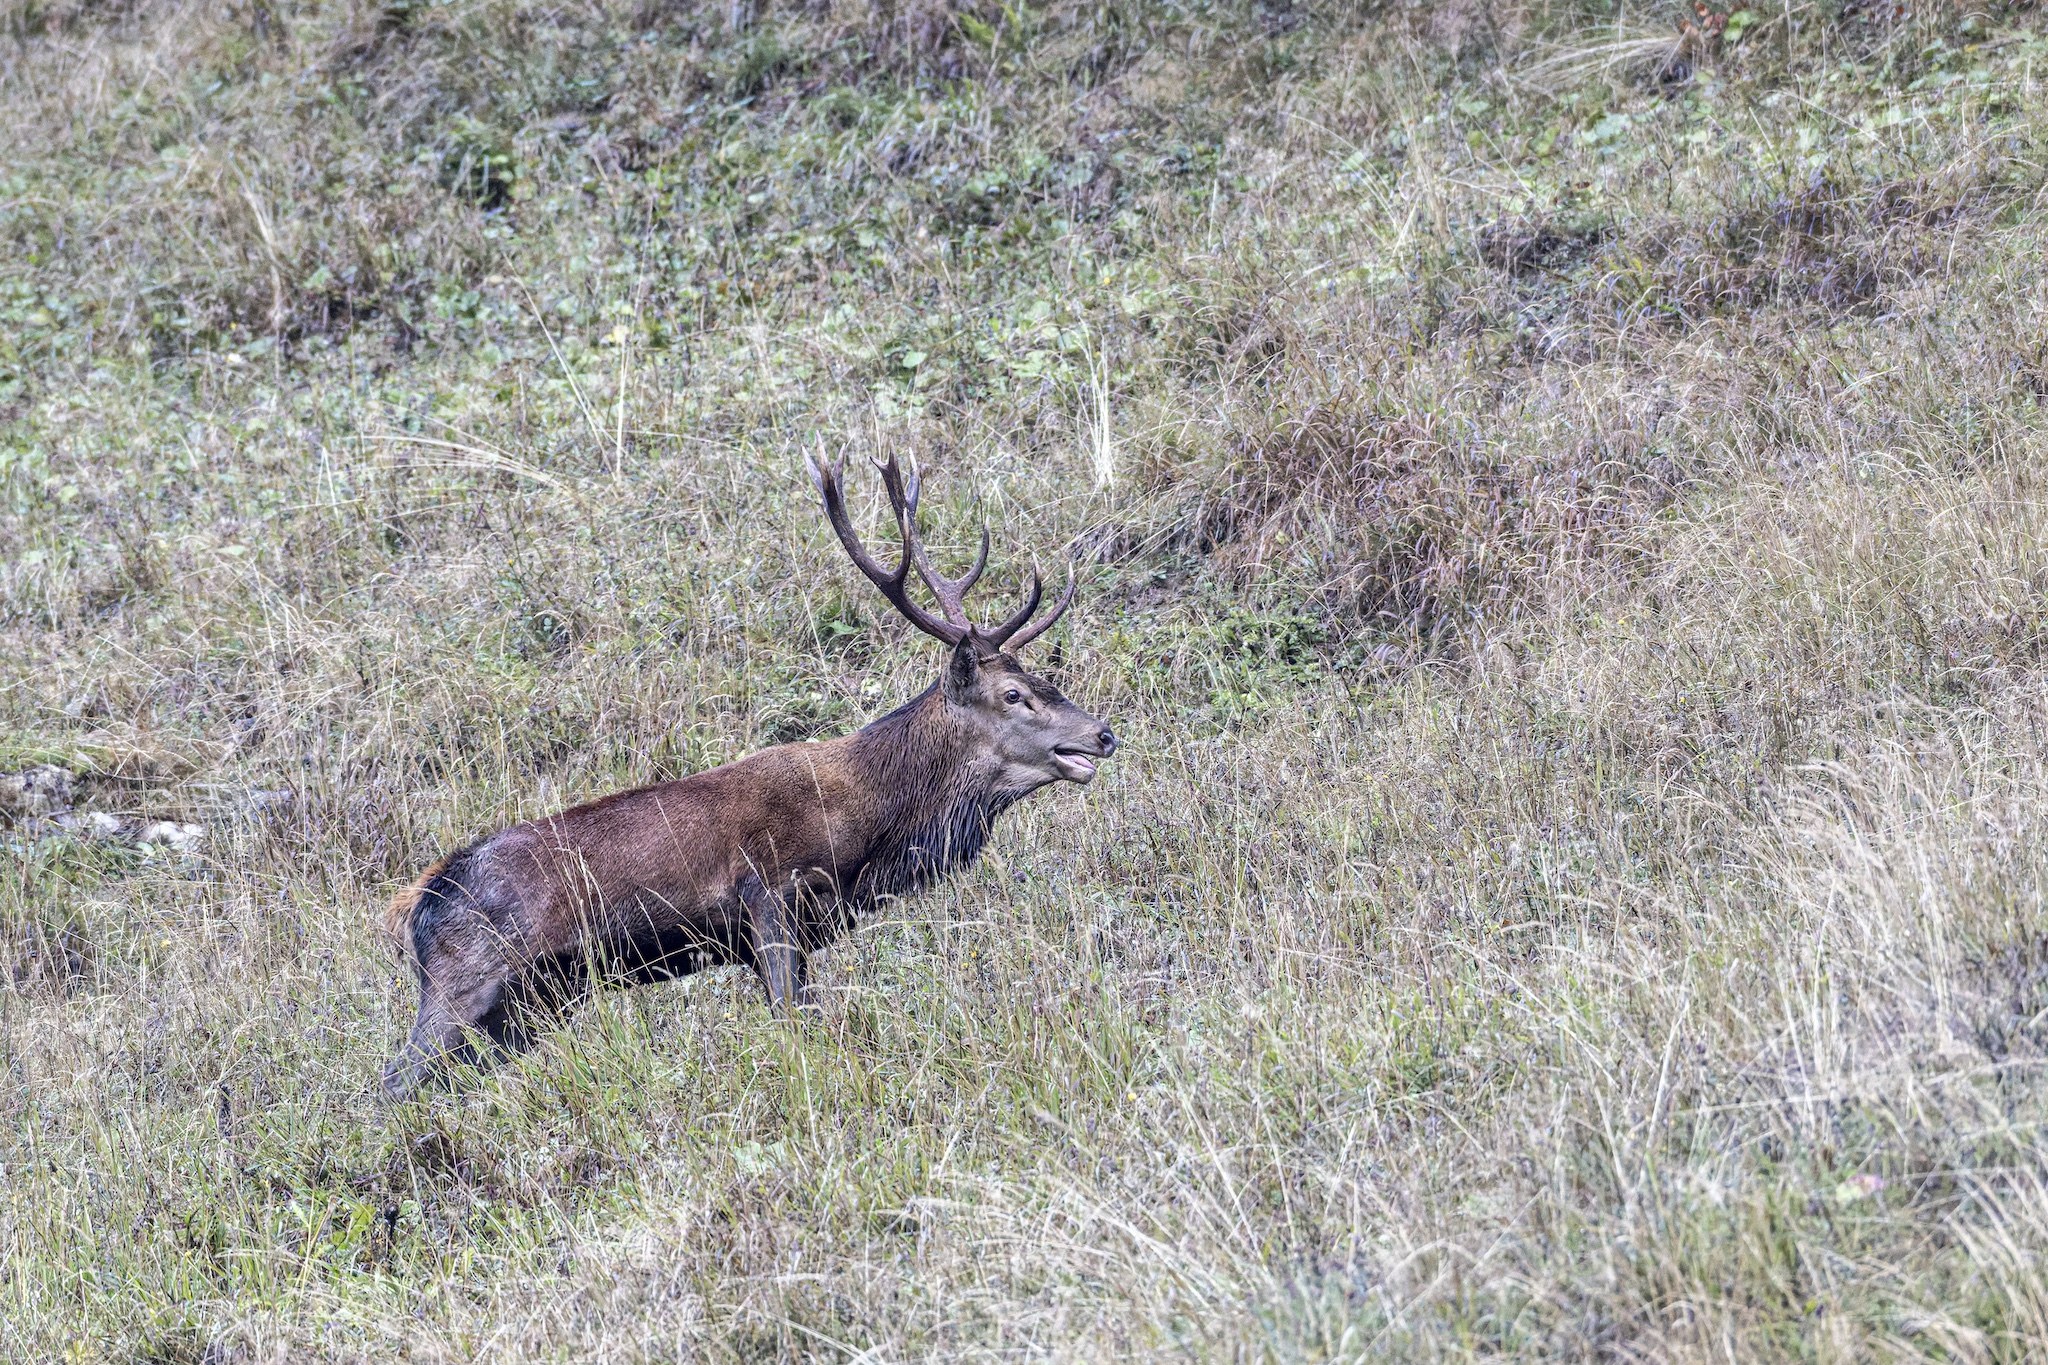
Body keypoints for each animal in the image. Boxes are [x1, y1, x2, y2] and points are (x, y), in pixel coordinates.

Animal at [381, 455, 1117, 1096]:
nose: (1103, 733)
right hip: (462, 983)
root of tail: (418, 900)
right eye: (1013, 695)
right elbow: (796, 1020)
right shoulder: (771, 897)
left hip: (527, 1005)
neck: (874, 823)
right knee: (392, 1083)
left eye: (1043, 680)